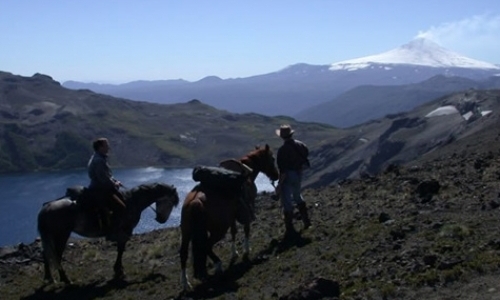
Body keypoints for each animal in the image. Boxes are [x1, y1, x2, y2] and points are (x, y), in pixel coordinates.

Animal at [38, 180, 180, 284]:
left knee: (46, 254)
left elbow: (120, 250)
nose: (161, 220)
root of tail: (47, 208)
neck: (132, 201)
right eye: (171, 202)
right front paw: (118, 270)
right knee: (56, 255)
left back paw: (49, 278)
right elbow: (121, 250)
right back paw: (65, 279)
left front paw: (119, 269)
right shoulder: (125, 231)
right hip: (61, 235)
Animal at [181, 144, 282, 290]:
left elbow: (234, 232)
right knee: (206, 246)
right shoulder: (247, 207)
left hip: (186, 232)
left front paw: (235, 252)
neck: (247, 172)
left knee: (184, 254)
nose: (276, 175)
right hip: (218, 230)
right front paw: (246, 250)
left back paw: (186, 283)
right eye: (272, 158)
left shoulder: (233, 215)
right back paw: (218, 266)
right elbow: (246, 229)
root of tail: (195, 201)